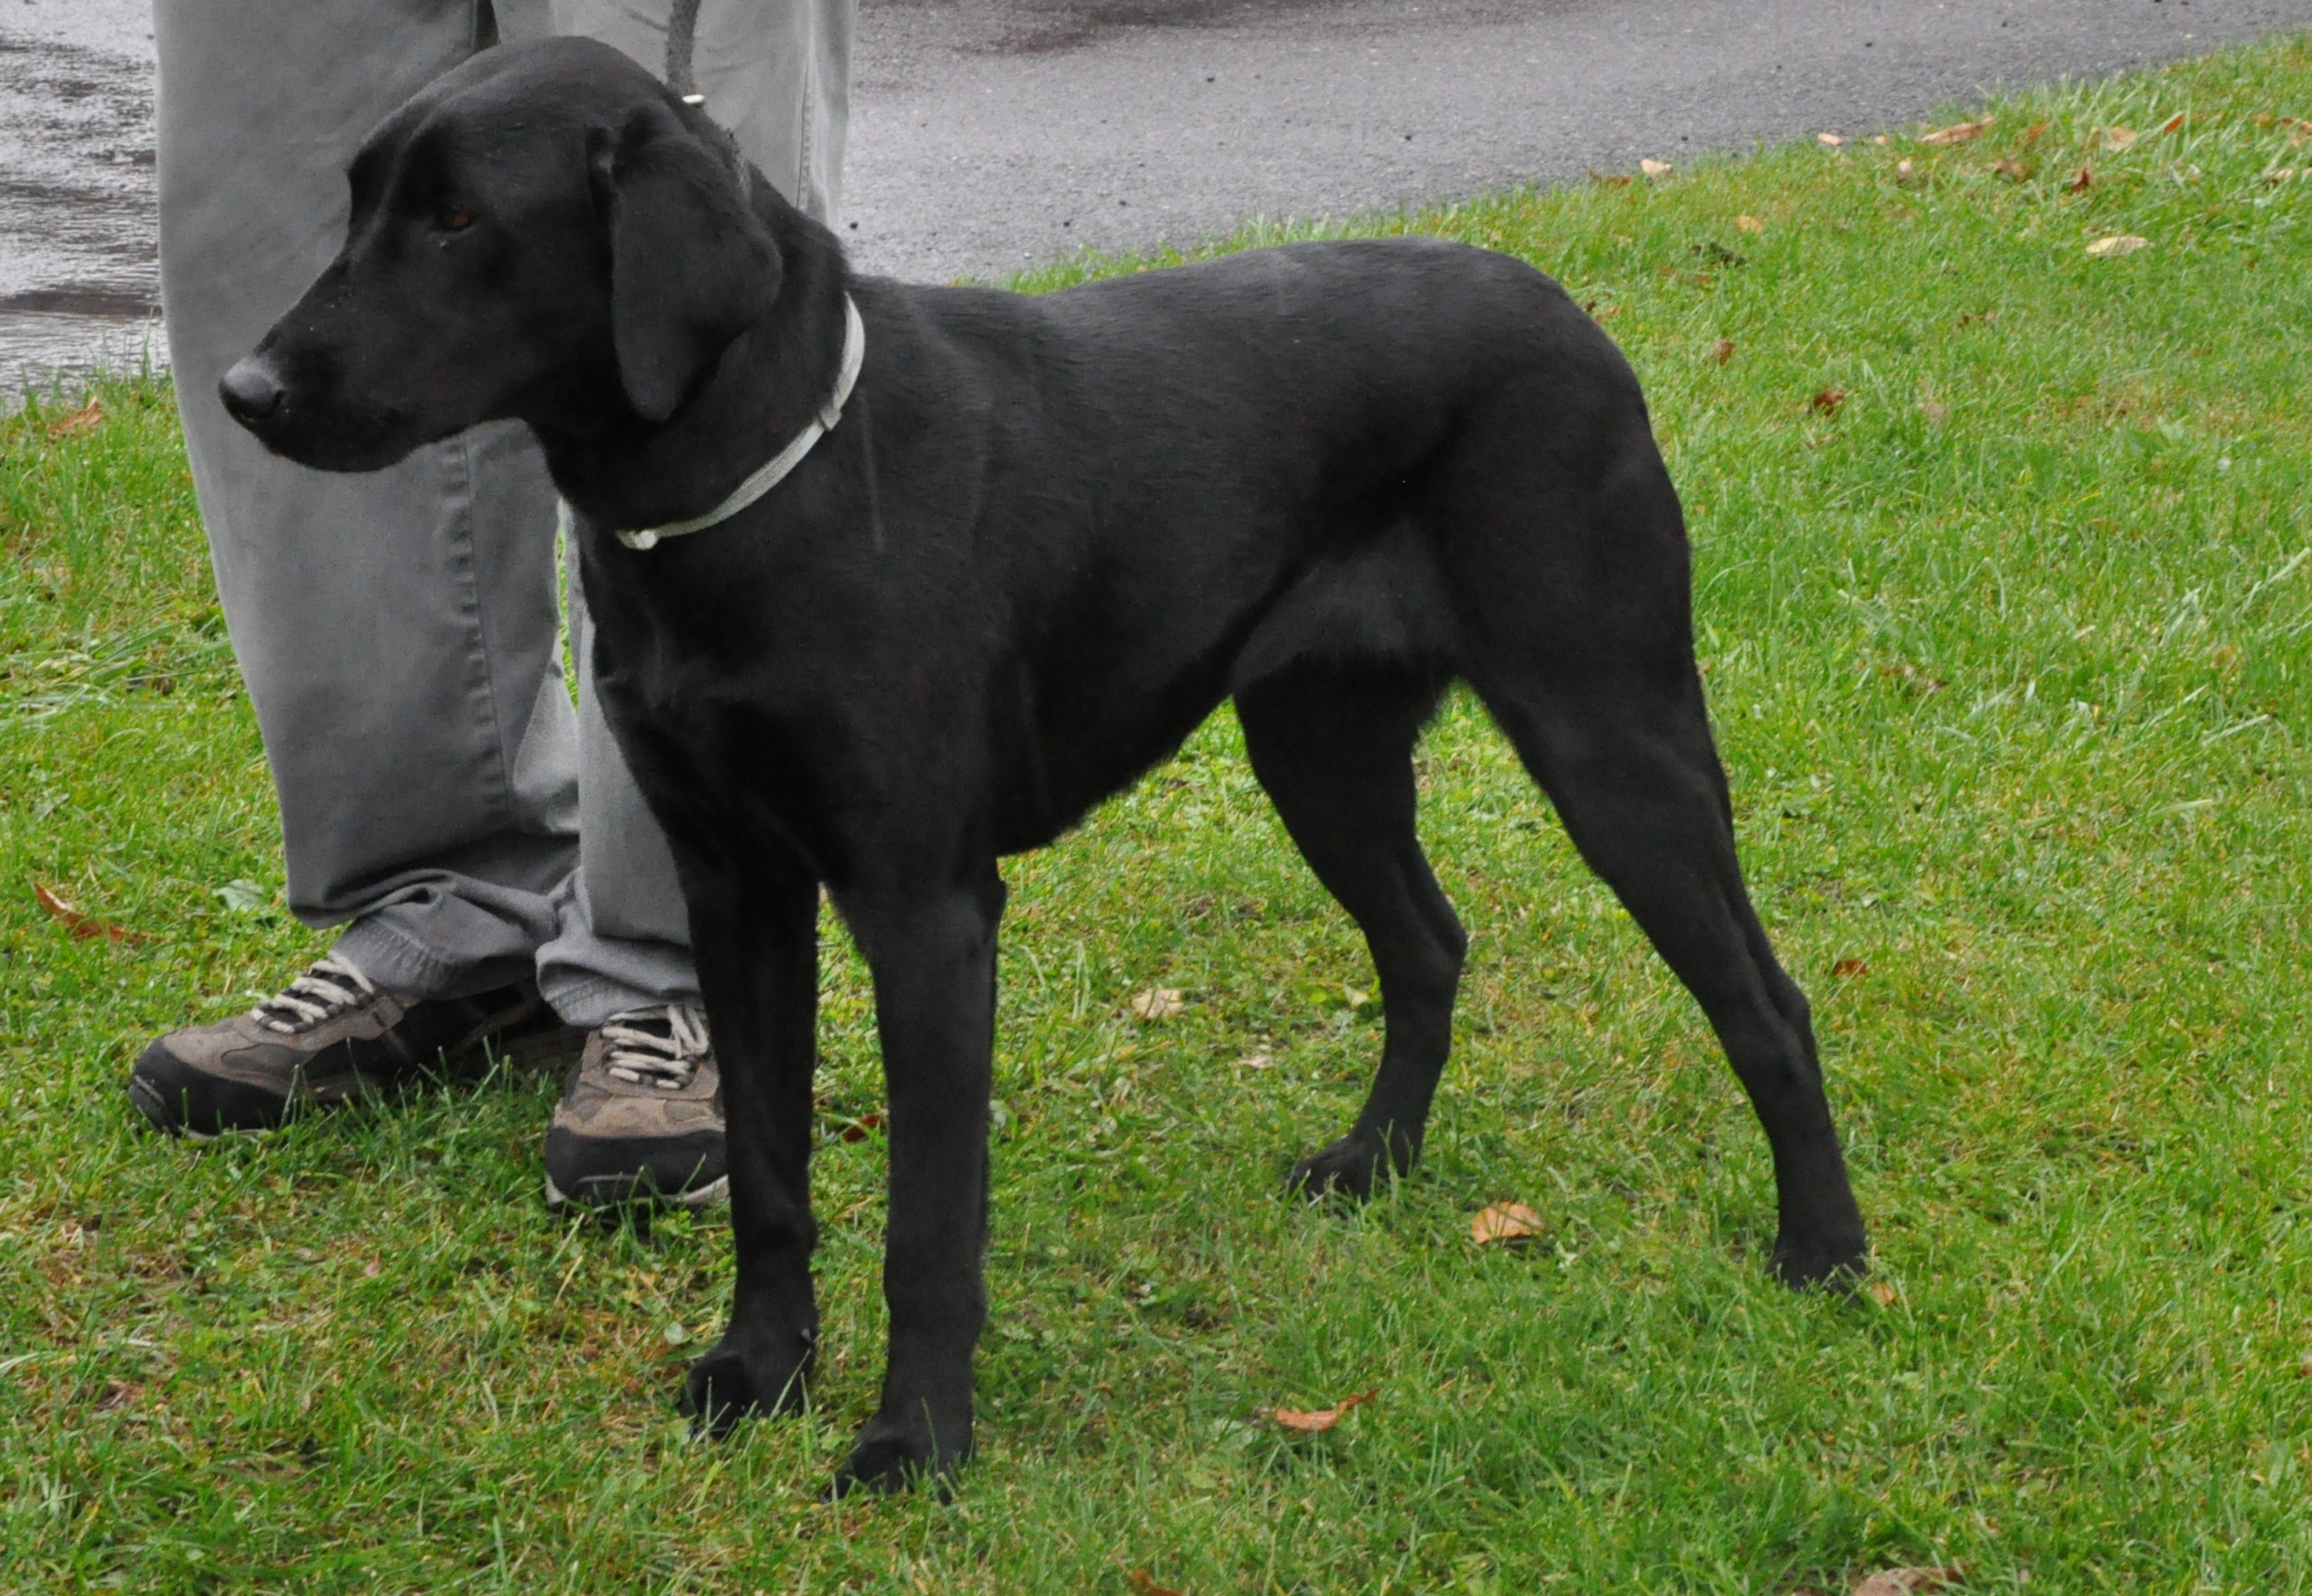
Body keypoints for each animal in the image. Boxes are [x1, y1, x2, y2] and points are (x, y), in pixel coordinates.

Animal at [225, 37, 1868, 1489]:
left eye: (459, 221)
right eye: (361, 198)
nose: (247, 390)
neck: (771, 482)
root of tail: (1573, 320)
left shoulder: (928, 912)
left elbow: (929, 1226)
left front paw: (915, 1442)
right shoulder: (738, 887)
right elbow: (767, 1174)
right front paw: (762, 1372)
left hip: (1612, 736)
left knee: (1765, 999)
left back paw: (1827, 1252)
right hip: (1318, 750)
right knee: (1428, 941)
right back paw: (1375, 1163)